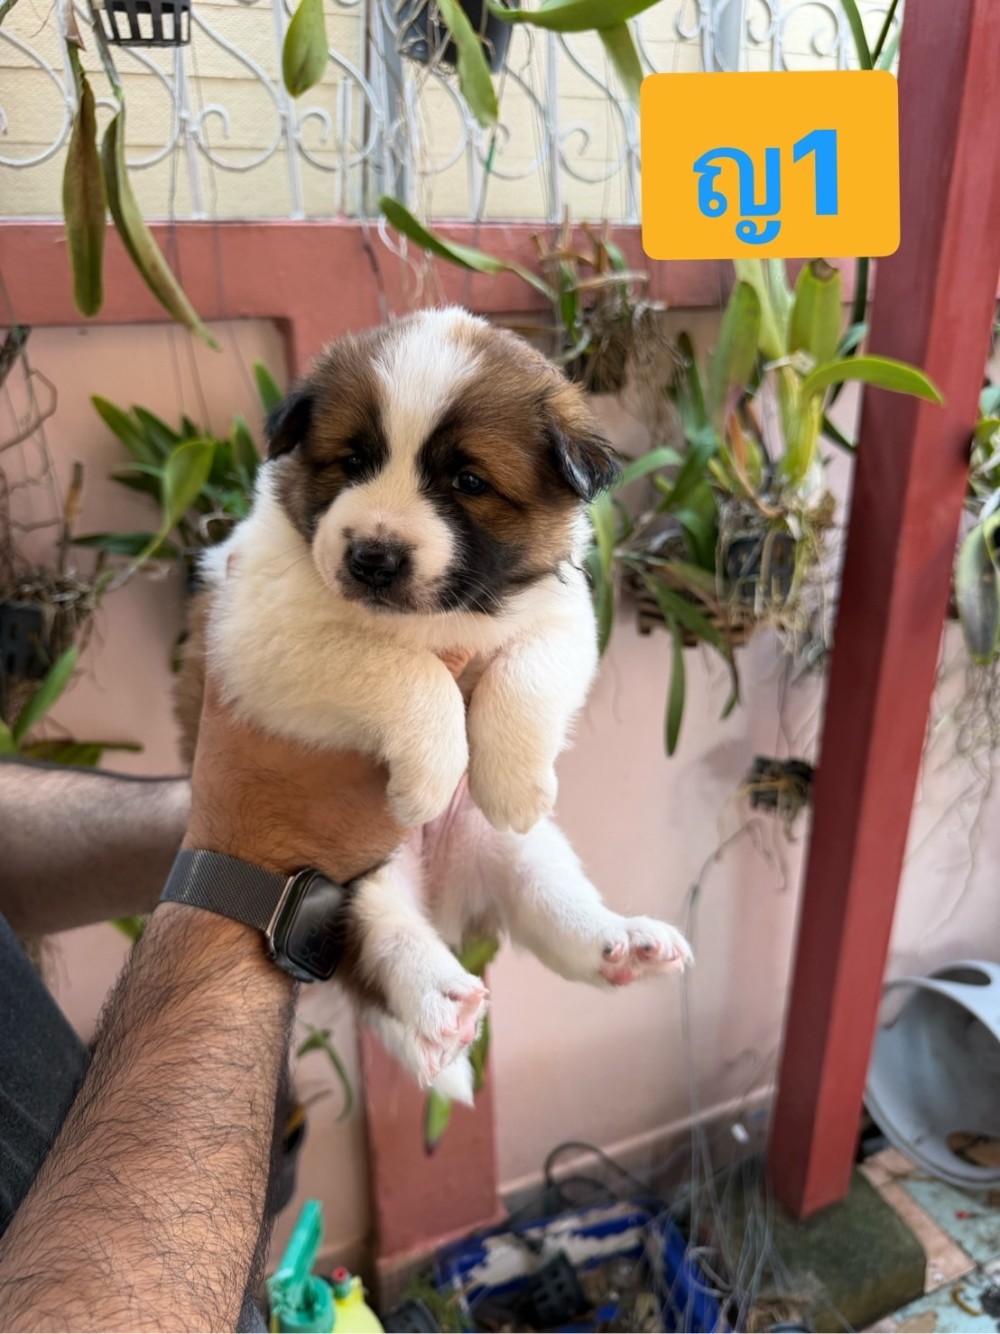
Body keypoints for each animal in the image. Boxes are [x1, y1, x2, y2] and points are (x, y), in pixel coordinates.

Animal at [178, 308, 692, 1102]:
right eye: (352, 461)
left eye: (468, 480)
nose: (373, 557)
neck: (439, 614)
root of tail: (444, 893)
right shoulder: (262, 633)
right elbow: (402, 668)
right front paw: (432, 769)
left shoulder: (565, 616)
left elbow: (527, 670)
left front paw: (510, 781)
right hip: (352, 881)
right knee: (384, 941)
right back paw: (440, 1002)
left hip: (515, 851)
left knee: (556, 910)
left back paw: (624, 943)